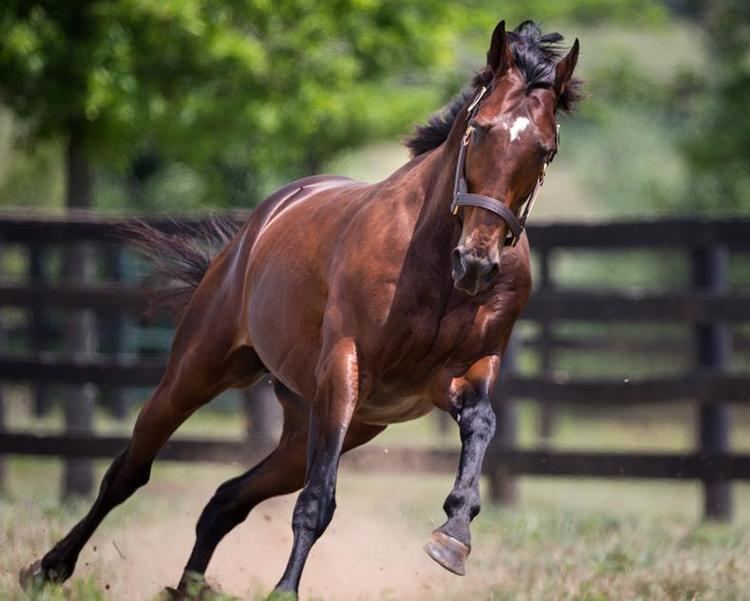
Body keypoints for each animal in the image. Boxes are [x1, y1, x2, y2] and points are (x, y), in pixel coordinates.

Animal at [17, 18, 580, 600]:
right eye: (481, 129)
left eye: (544, 150)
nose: (476, 262)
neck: (432, 263)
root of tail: (263, 220)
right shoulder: (345, 370)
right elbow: (317, 500)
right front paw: (284, 589)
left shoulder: (459, 374)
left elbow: (483, 422)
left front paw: (454, 536)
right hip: (199, 372)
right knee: (129, 471)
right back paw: (48, 569)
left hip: (323, 425)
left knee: (226, 499)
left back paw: (187, 586)